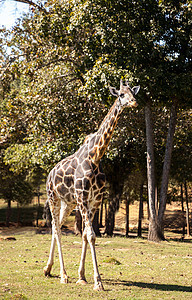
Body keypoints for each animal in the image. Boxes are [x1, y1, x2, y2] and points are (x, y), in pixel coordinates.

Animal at [43, 79, 140, 290]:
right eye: (121, 94)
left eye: (133, 92)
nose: (134, 102)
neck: (95, 157)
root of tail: (49, 174)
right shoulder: (82, 196)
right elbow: (91, 235)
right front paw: (98, 282)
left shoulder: (96, 199)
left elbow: (87, 235)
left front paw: (82, 276)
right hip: (53, 197)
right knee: (56, 228)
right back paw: (63, 275)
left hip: (67, 203)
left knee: (57, 226)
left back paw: (48, 269)